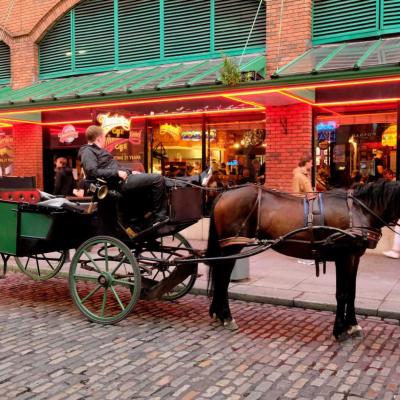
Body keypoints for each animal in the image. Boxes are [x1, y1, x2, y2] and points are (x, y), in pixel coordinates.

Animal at [205, 181, 398, 340]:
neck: (358, 210)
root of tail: (224, 192)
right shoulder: (343, 256)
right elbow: (342, 293)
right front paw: (339, 330)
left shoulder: (354, 256)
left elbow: (351, 292)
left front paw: (353, 325)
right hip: (232, 246)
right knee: (222, 278)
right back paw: (226, 316)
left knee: (220, 276)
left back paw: (218, 313)